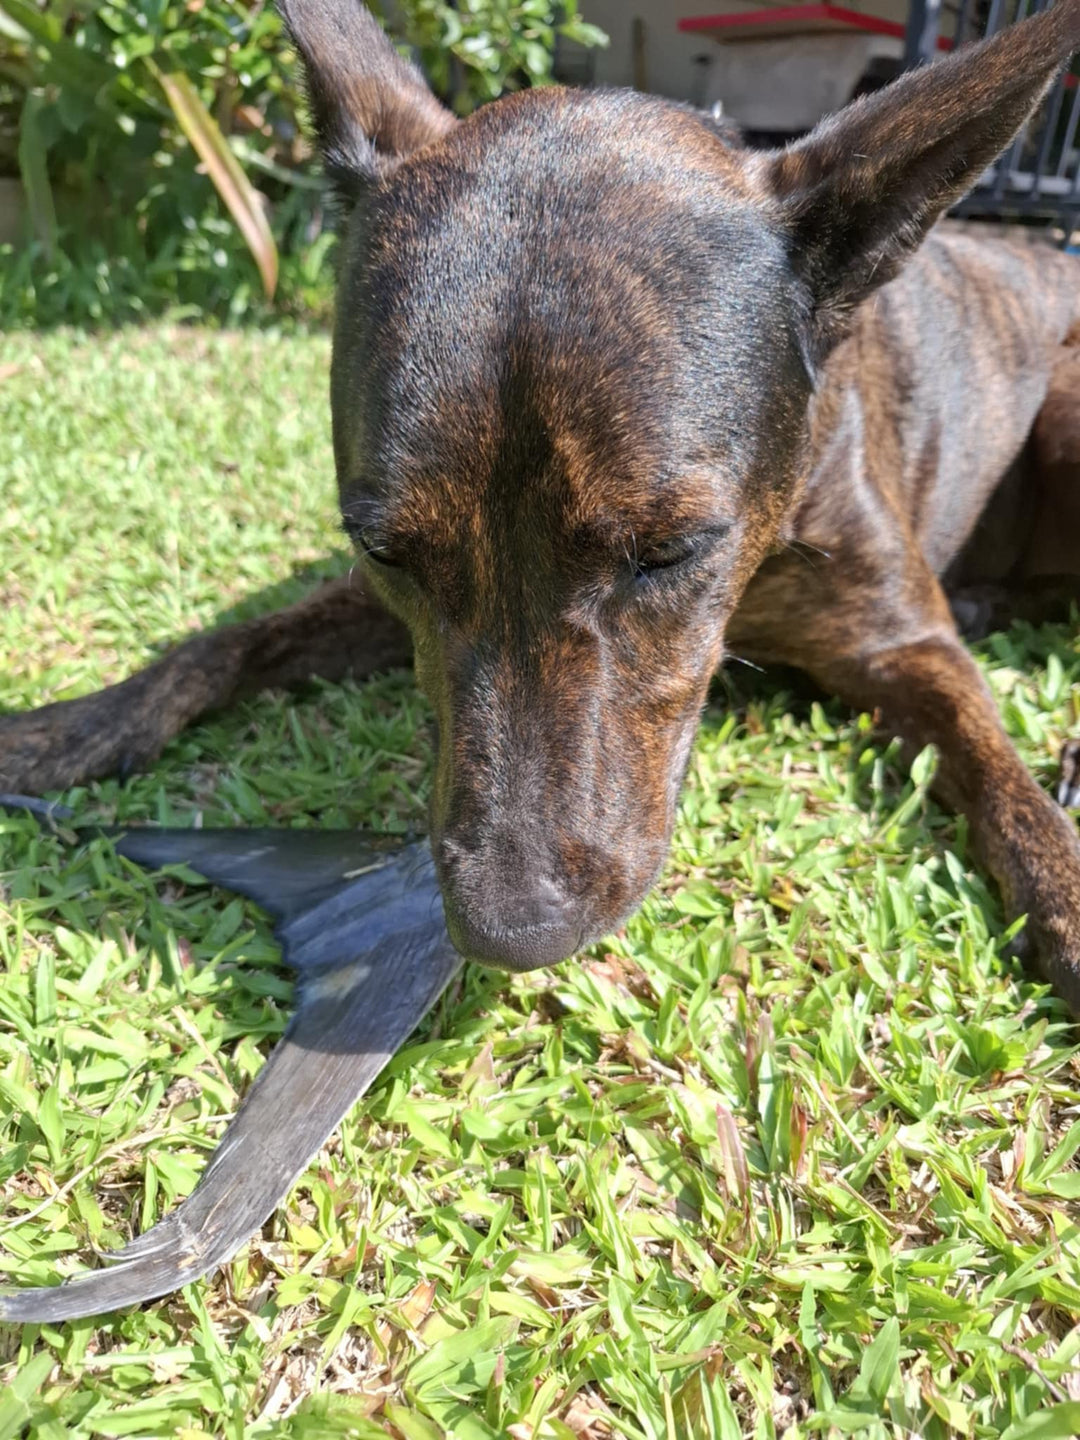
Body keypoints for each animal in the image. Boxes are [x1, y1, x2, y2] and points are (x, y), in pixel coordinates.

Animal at [4, 0, 1080, 1008]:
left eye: (671, 550)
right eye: (384, 554)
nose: (511, 931)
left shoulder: (901, 643)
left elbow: (991, 759)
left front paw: (1063, 889)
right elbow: (220, 644)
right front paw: (68, 728)